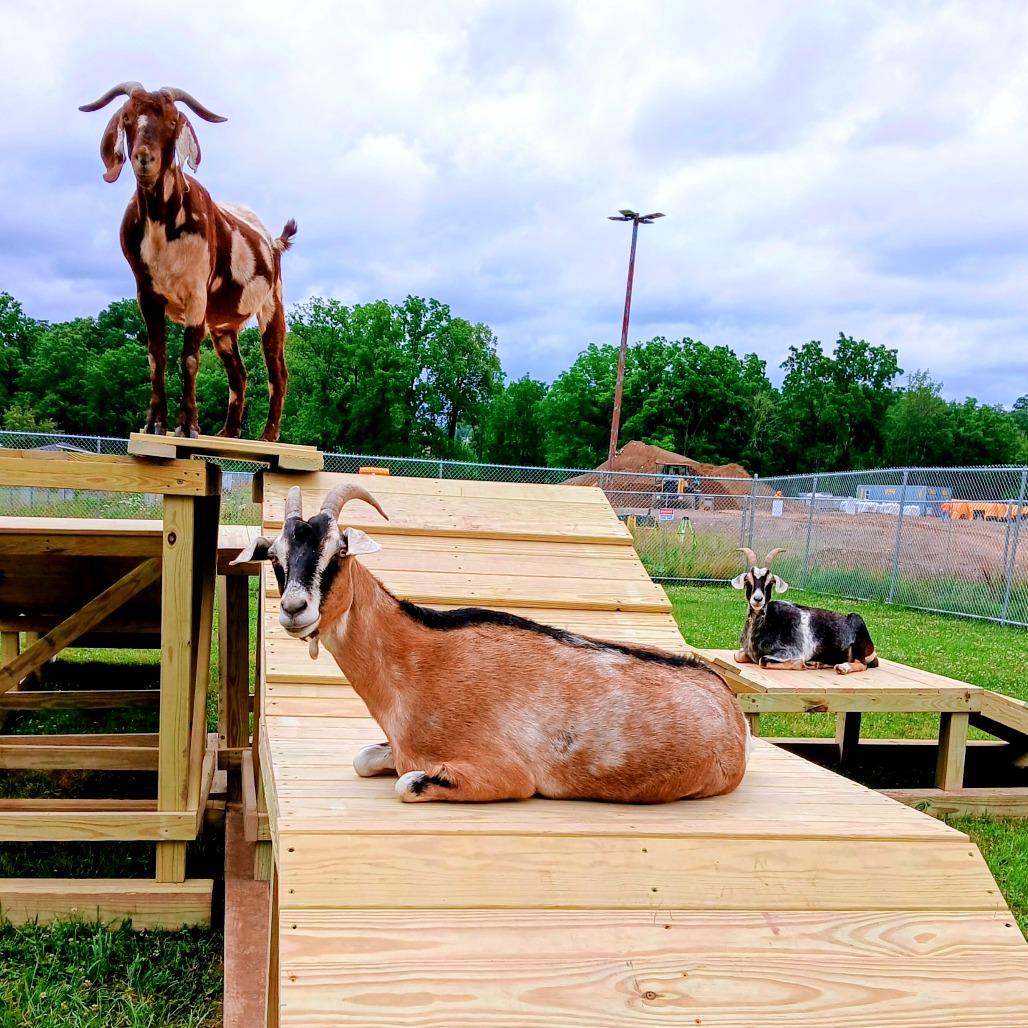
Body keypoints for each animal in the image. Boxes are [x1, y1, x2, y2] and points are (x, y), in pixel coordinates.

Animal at [80, 82, 296, 440]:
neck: (162, 222)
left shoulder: (196, 294)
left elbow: (189, 358)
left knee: (276, 373)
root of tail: (274, 243)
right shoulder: (147, 295)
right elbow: (156, 356)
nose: (144, 158)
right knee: (239, 374)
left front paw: (188, 426)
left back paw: (267, 436)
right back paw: (227, 433)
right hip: (223, 327)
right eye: (127, 118)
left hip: (272, 307)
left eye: (172, 121)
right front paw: (154, 423)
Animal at [233, 485, 750, 804]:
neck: (417, 662)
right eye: (275, 557)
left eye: (338, 550)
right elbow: (363, 760)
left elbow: (406, 784)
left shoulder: (502, 774)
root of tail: (732, 707)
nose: (295, 609)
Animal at [731, 547, 879, 674]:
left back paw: (842, 667)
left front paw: (801, 664)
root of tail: (872, 649)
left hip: (857, 628)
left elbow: (763, 660)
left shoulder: (790, 652)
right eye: (748, 581)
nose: (758, 599)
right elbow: (737, 655)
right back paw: (817, 663)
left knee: (862, 664)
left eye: (770, 582)